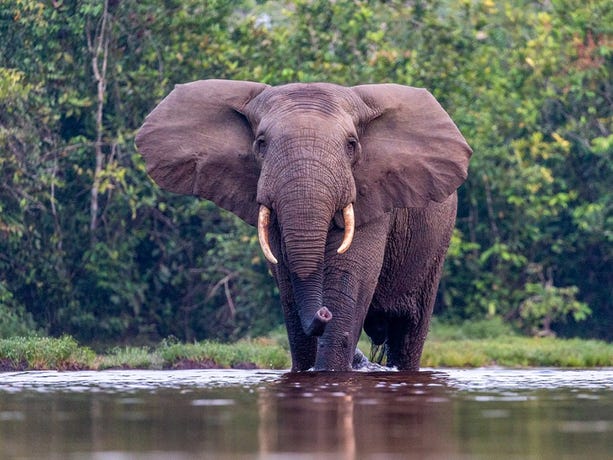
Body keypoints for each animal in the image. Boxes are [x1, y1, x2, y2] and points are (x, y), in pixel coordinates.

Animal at [136, 79, 470, 372]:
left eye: (351, 145)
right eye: (261, 143)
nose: (323, 311)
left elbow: (350, 277)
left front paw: (329, 372)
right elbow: (287, 281)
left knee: (409, 331)